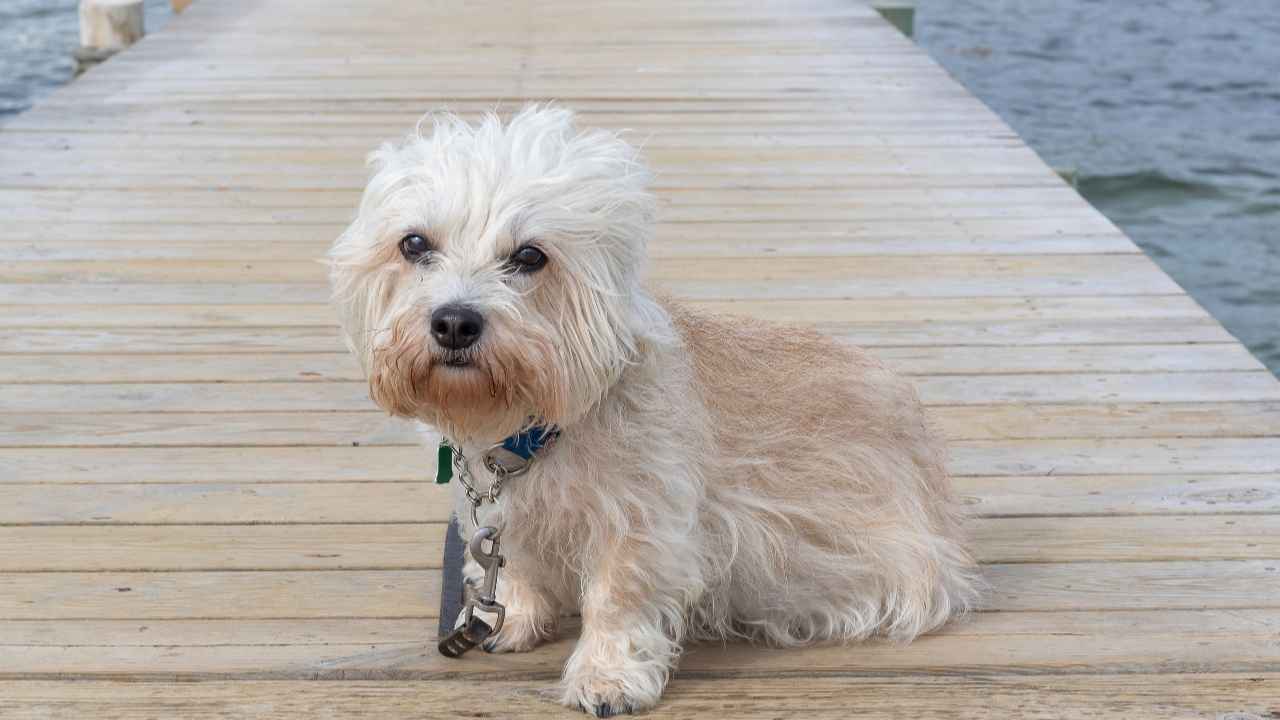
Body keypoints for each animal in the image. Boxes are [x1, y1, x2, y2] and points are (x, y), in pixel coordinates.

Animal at [330, 105, 977, 712]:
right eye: (415, 244)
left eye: (531, 256)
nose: (454, 322)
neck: (533, 429)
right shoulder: (501, 513)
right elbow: (515, 565)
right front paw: (513, 617)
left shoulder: (641, 524)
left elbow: (616, 598)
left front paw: (607, 677)